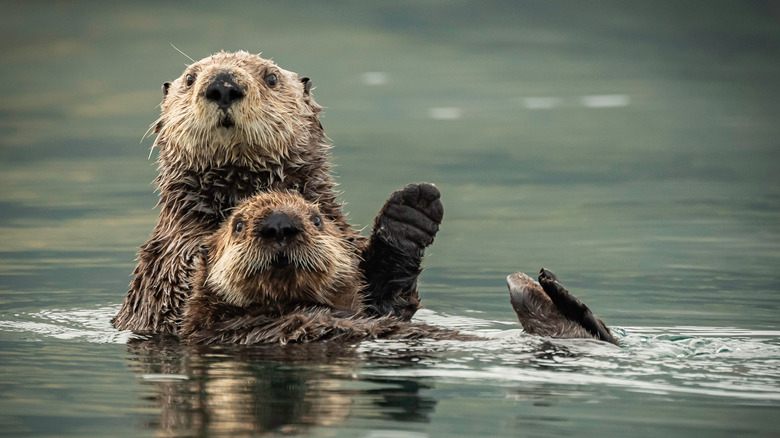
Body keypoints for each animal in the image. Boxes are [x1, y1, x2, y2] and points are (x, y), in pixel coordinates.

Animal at [116, 50, 444, 332]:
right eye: (190, 78)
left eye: (271, 78)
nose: (223, 85)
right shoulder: (167, 262)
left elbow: (384, 302)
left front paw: (410, 213)